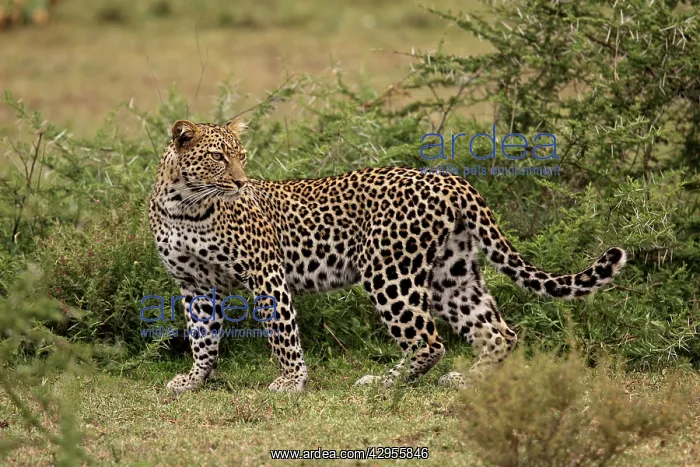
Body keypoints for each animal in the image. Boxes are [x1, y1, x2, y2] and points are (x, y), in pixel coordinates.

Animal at [148, 118, 627, 394]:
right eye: (218, 157)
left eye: (242, 156)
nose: (241, 183)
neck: (186, 206)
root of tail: (451, 180)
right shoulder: (194, 286)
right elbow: (203, 337)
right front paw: (195, 380)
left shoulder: (265, 272)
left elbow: (281, 332)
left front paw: (291, 381)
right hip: (452, 275)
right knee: (498, 333)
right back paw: (467, 379)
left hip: (389, 271)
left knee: (429, 342)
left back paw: (381, 382)